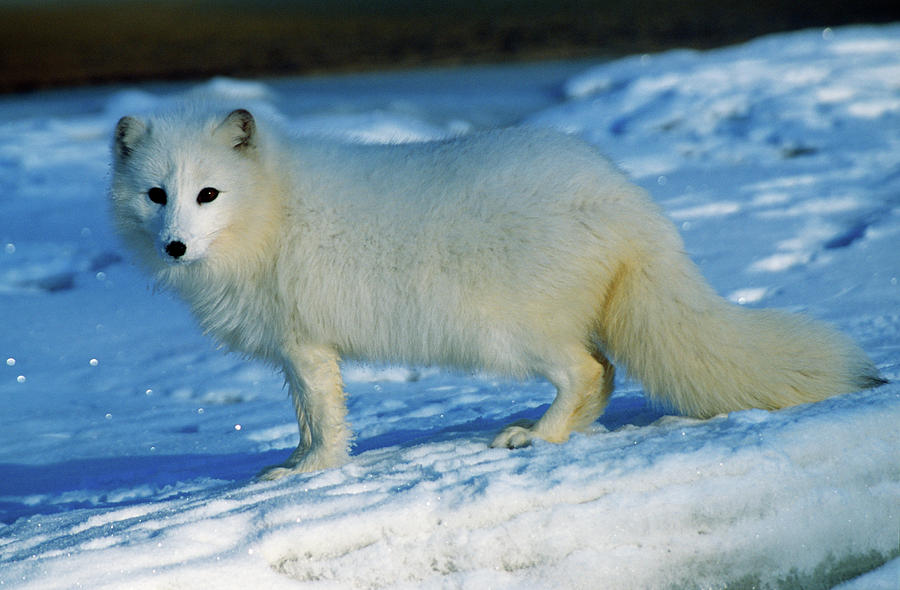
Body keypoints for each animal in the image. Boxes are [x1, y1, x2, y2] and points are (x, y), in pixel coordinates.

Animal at [109, 104, 884, 478]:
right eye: (157, 195)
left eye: (208, 194)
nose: (175, 246)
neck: (271, 211)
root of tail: (627, 199)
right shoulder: (299, 352)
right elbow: (304, 419)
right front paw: (296, 465)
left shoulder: (305, 344)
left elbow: (326, 421)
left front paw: (315, 473)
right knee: (604, 378)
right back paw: (556, 435)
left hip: (506, 334)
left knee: (589, 371)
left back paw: (535, 435)